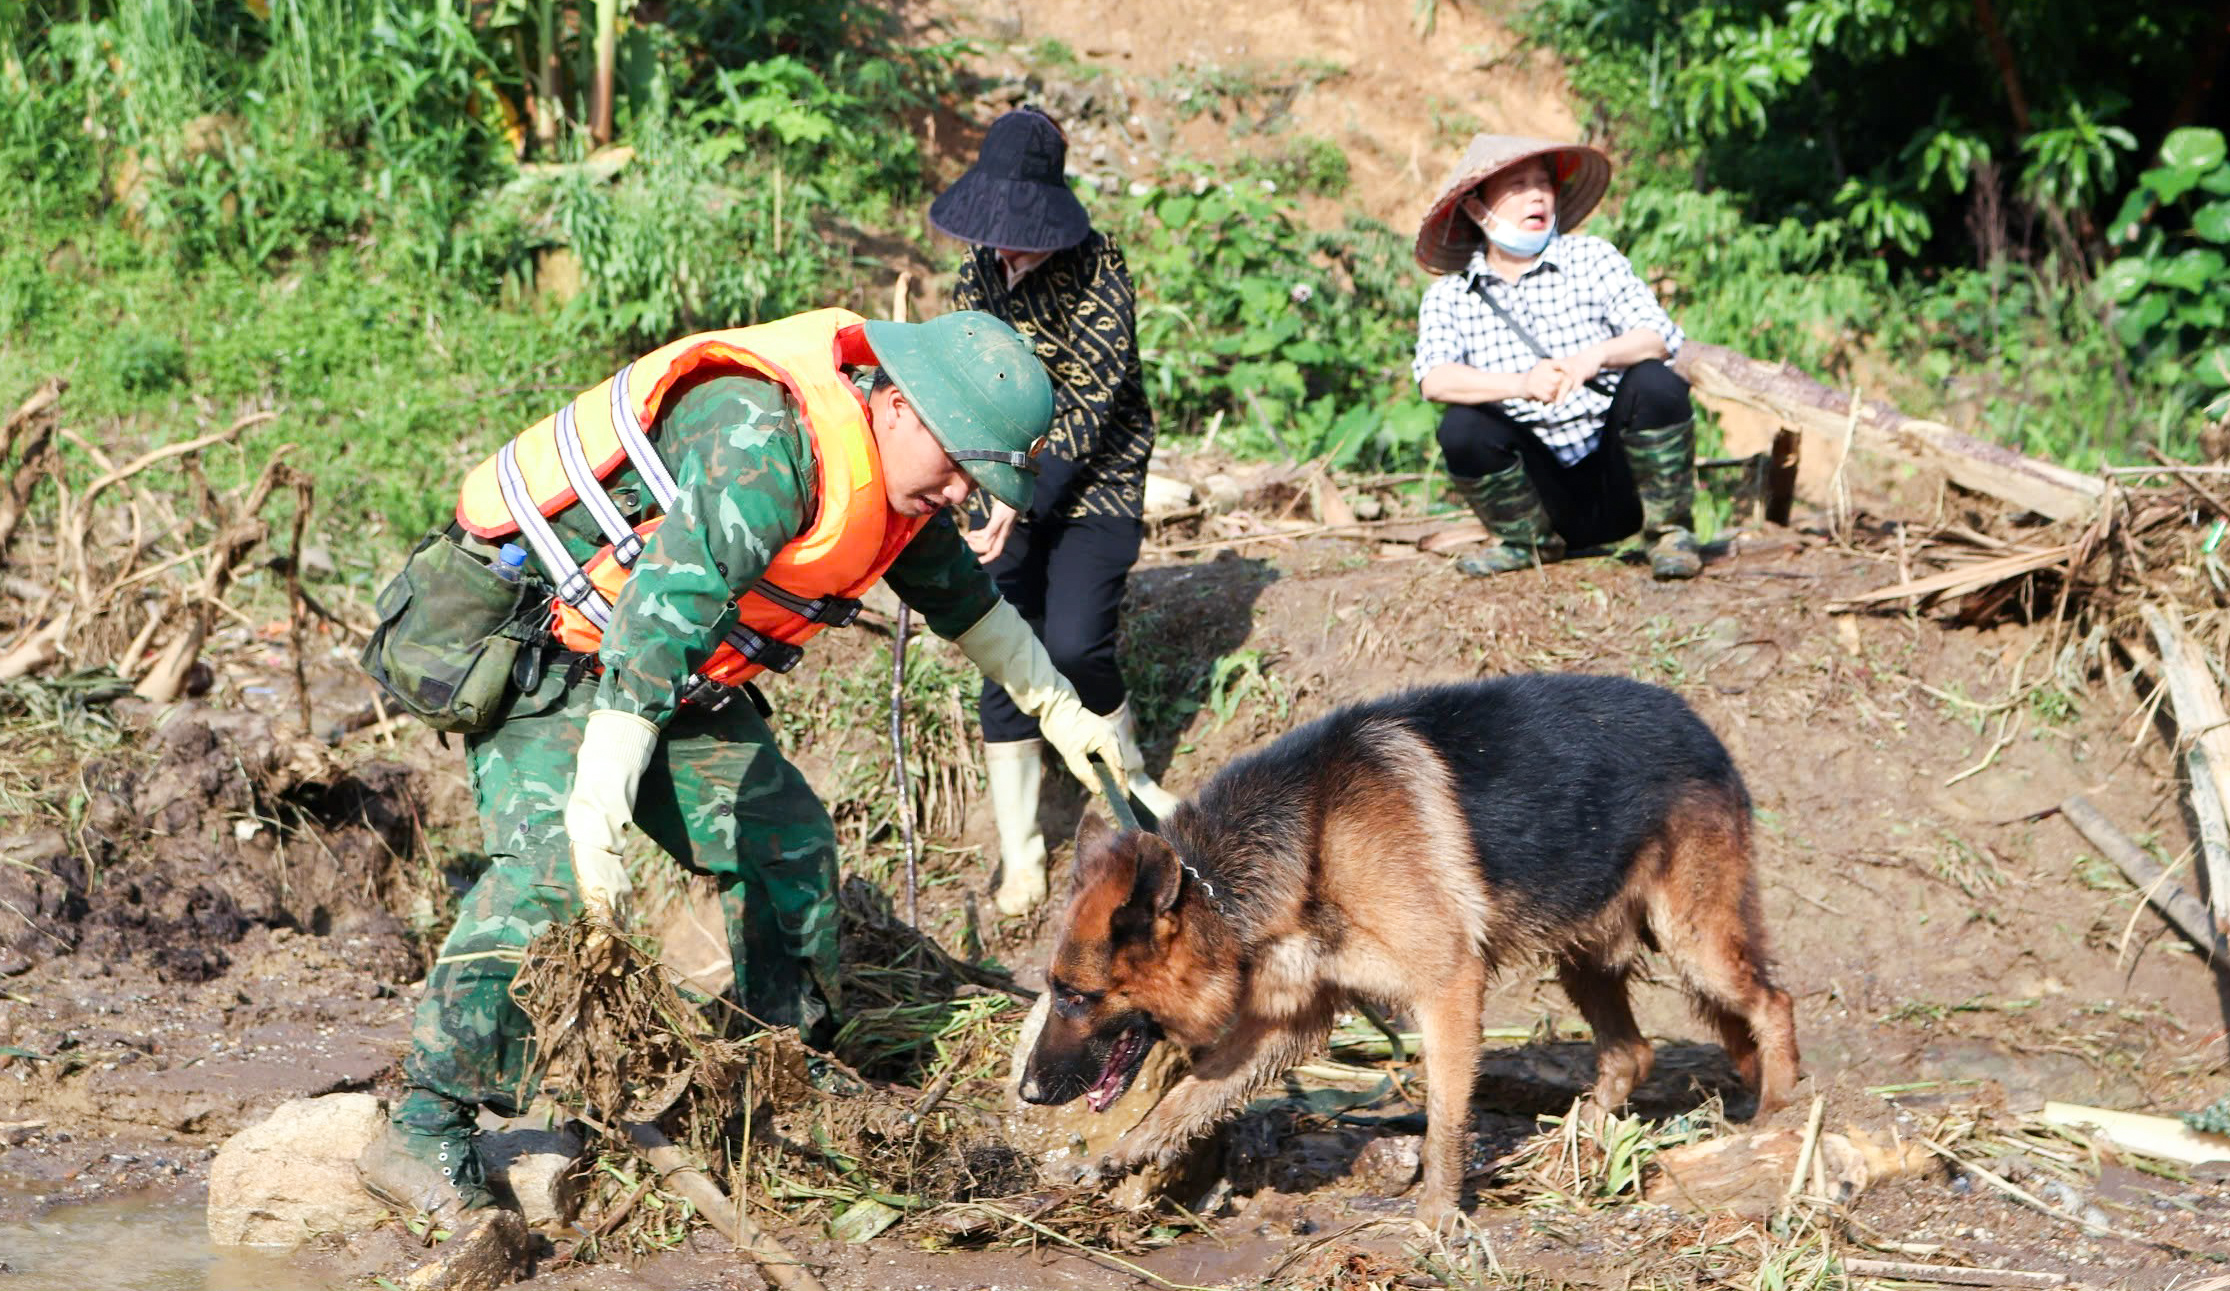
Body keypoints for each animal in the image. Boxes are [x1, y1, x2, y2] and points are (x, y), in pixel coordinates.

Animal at [1021, 673, 1801, 1230]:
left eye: (1075, 996)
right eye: (1056, 989)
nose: (1027, 1093)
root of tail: (1700, 724)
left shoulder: (1448, 988)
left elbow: (1445, 1117)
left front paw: (1436, 1214)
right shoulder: (1288, 1024)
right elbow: (1188, 1095)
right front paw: (1122, 1151)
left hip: (1695, 942)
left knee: (1773, 1003)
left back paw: (1777, 1119)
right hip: (1582, 951)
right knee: (1629, 1053)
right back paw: (1567, 1150)